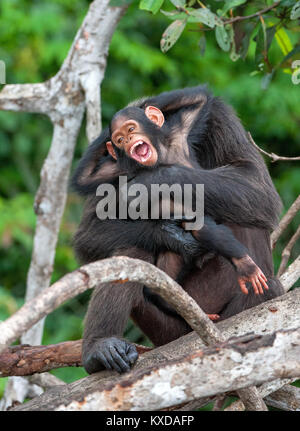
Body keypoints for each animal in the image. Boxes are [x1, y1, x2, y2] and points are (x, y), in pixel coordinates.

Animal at [72, 85, 284, 374]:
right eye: (119, 139)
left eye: (130, 129)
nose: (127, 141)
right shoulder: (113, 169)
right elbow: (90, 232)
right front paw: (172, 235)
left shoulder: (211, 119)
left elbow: (256, 186)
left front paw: (151, 181)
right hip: (166, 329)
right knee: (133, 252)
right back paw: (100, 348)